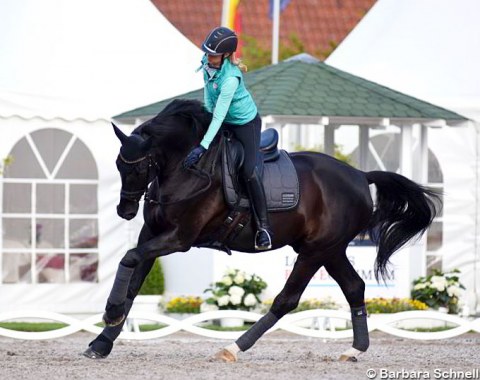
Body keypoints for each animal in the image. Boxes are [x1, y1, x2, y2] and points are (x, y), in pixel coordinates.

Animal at [83, 98, 438, 362]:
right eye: (118, 165)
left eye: (138, 167)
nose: (125, 211)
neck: (185, 167)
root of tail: (361, 176)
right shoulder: (151, 234)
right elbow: (133, 282)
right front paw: (103, 340)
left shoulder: (179, 238)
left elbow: (129, 258)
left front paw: (110, 313)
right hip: (331, 250)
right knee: (354, 287)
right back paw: (354, 350)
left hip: (316, 251)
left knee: (287, 300)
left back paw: (233, 347)